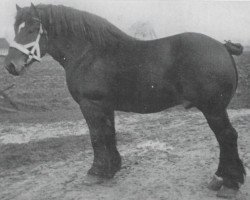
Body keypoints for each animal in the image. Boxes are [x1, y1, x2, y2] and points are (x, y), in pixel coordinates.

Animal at [3, 3, 246, 198]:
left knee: (227, 137)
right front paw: (110, 169)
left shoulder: (90, 105)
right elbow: (109, 135)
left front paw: (95, 172)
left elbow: (96, 137)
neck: (89, 53)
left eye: (32, 29)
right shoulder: (104, 106)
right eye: (16, 29)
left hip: (213, 109)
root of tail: (223, 46)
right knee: (225, 140)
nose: (10, 65)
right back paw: (219, 179)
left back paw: (229, 184)